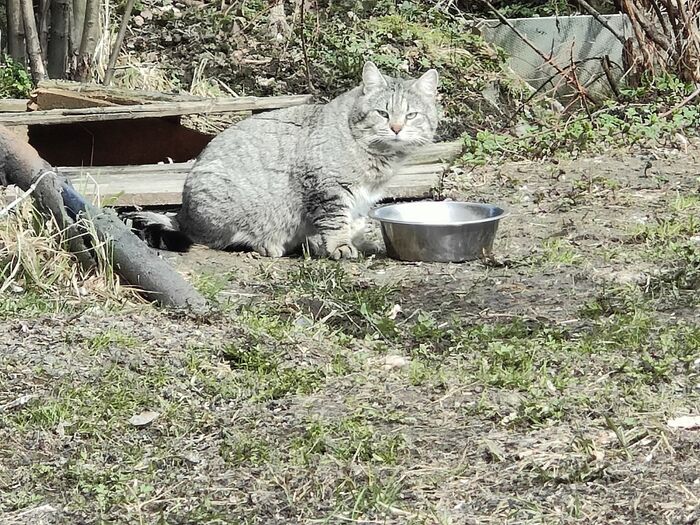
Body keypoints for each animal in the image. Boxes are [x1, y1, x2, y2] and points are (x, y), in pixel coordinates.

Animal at [126, 61, 439, 259]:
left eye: (411, 115)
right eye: (382, 113)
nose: (396, 128)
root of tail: (182, 213)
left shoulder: (359, 200)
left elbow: (352, 222)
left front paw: (359, 242)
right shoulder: (327, 190)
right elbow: (335, 222)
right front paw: (340, 246)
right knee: (215, 240)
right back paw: (265, 245)